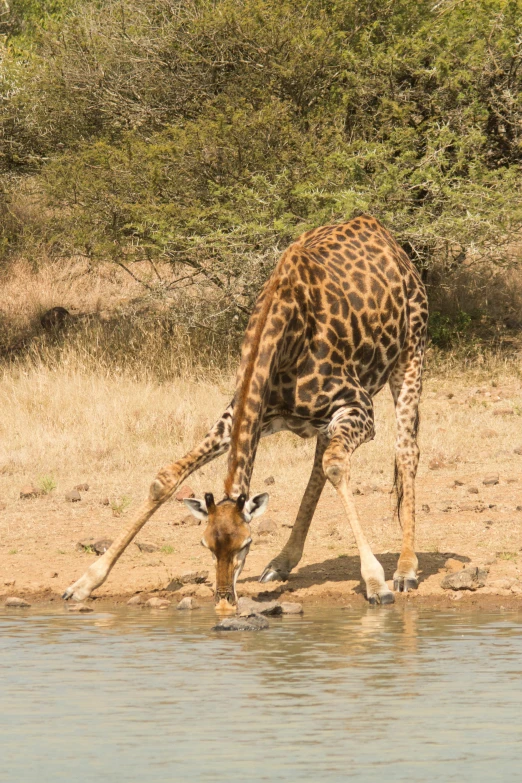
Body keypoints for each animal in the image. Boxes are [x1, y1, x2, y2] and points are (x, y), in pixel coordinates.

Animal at [62, 214, 426, 612]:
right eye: (206, 545)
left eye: (246, 544)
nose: (224, 602)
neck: (285, 340)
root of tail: (379, 229)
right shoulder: (245, 415)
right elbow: (165, 477)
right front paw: (84, 582)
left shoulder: (359, 408)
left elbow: (336, 467)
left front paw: (376, 582)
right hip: (326, 420)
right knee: (320, 463)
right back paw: (281, 562)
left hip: (411, 354)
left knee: (405, 450)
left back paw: (405, 569)